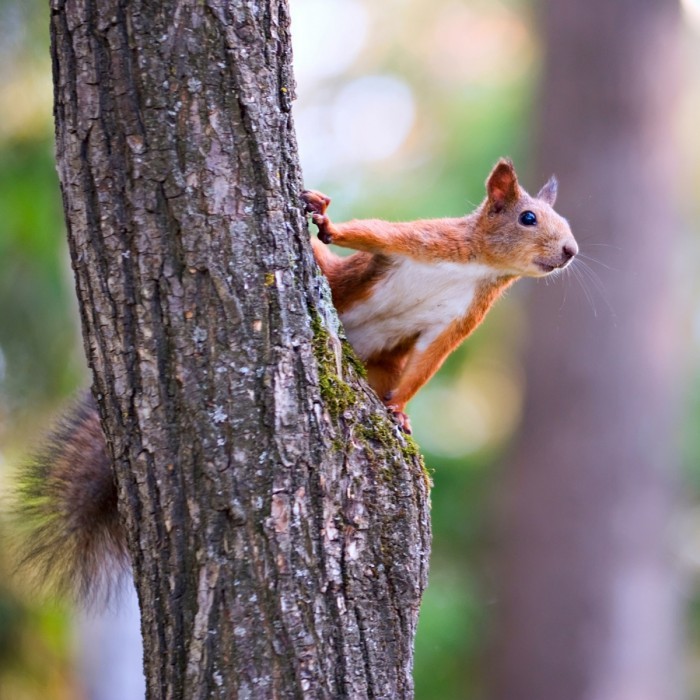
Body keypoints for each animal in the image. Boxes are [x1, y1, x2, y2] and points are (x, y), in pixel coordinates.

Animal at [304, 158, 576, 432]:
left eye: (565, 221)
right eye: (528, 218)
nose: (571, 250)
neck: (481, 267)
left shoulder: (463, 313)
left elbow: (430, 356)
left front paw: (399, 408)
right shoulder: (427, 239)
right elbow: (374, 233)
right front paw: (329, 226)